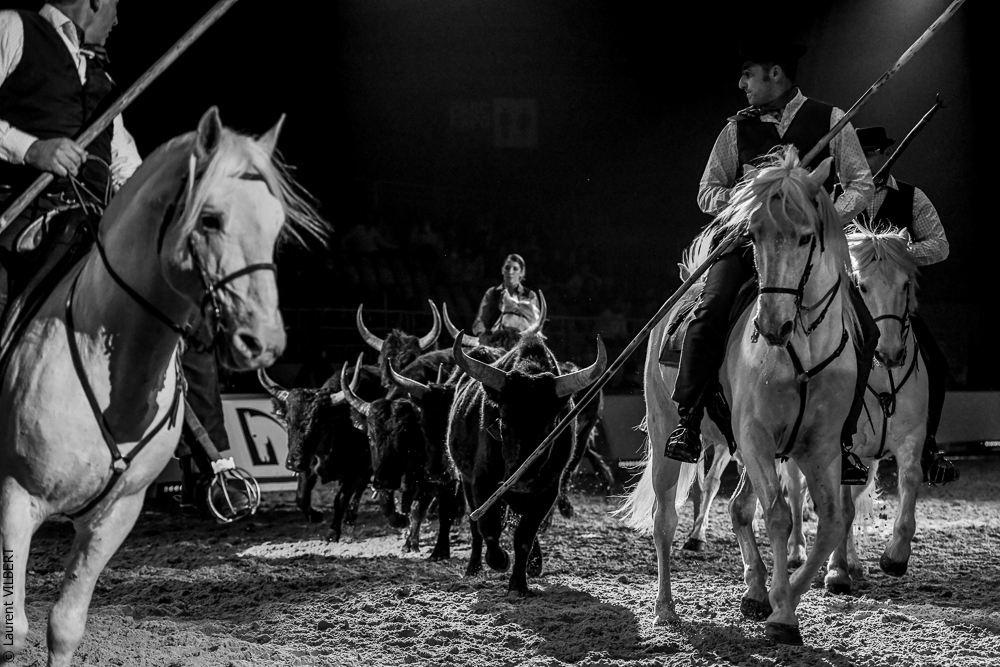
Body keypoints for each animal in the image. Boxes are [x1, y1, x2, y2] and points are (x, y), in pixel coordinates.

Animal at [0, 107, 324, 666]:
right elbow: (11, 631)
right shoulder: (14, 499)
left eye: (276, 224)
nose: (263, 342)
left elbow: (64, 626)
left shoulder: (114, 517)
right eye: (210, 218)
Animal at [620, 146, 860, 645]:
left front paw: (780, 603)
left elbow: (830, 521)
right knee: (665, 521)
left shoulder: (821, 447)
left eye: (807, 237)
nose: (771, 325)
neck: (802, 352)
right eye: (753, 234)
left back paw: (754, 591)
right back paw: (665, 608)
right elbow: (780, 516)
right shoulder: (755, 437)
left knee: (739, 507)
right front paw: (782, 612)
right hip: (667, 433)